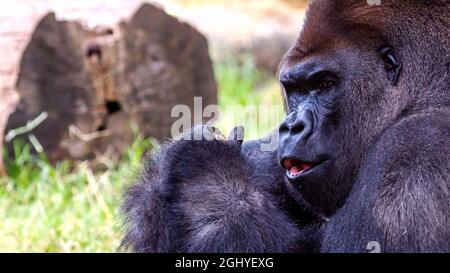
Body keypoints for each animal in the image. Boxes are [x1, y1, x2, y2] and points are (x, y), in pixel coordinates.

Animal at [120, 0, 450, 253]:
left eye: (325, 84)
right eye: (296, 89)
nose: (292, 127)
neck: (425, 87)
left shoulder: (412, 153)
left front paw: (205, 171)